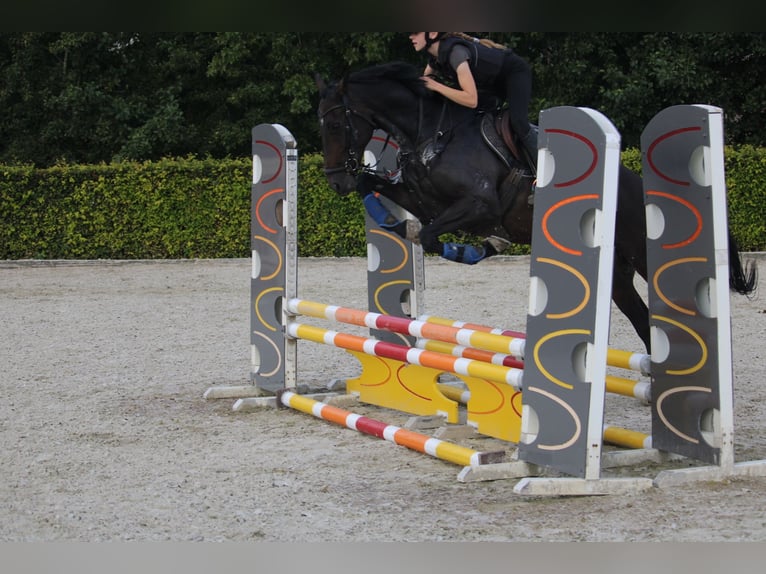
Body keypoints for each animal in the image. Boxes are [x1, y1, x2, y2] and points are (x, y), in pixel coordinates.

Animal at [316, 62, 760, 352]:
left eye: (335, 124)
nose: (335, 180)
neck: (431, 133)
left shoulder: (480, 204)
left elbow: (427, 234)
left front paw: (474, 248)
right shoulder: (422, 198)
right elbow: (392, 203)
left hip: (644, 257)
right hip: (617, 274)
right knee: (640, 319)